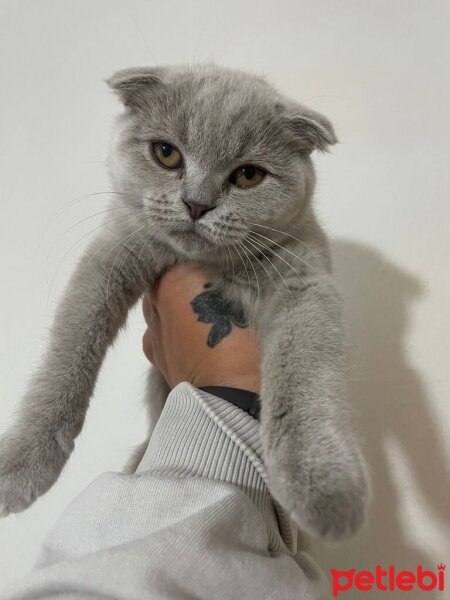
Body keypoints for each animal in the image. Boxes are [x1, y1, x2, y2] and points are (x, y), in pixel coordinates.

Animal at [0, 64, 370, 540]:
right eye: (166, 154)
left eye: (248, 176)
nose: (197, 204)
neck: (203, 262)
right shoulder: (112, 254)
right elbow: (70, 348)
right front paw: (22, 465)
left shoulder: (305, 279)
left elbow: (302, 371)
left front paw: (324, 487)